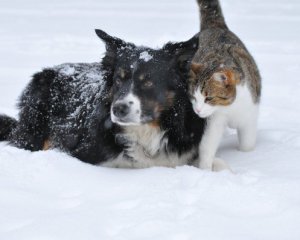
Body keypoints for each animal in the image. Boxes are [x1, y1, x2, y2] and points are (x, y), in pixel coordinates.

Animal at [189, 0, 262, 170]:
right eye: (193, 97)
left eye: (208, 98)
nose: (197, 110)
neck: (231, 107)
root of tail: (214, 26)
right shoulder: (214, 120)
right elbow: (207, 145)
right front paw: (205, 169)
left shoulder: (250, 113)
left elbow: (247, 144)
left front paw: (247, 156)